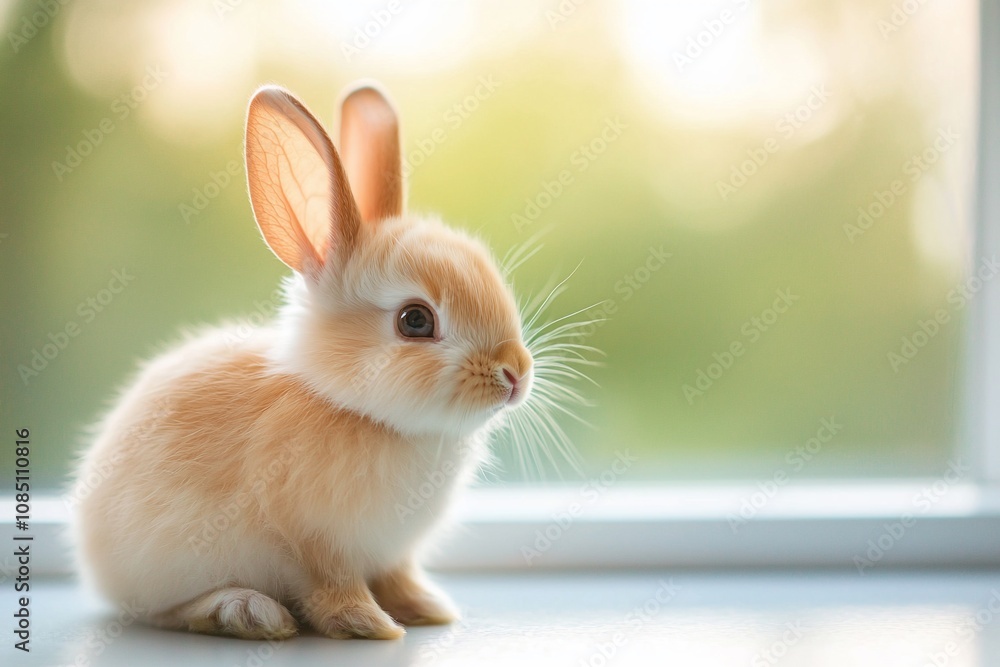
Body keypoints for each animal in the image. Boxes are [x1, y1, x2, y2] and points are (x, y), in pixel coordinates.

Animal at [71, 82, 534, 641]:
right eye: (416, 321)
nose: (516, 373)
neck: (356, 409)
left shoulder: (390, 553)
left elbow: (397, 577)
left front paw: (427, 608)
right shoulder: (313, 541)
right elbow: (333, 586)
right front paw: (371, 626)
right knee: (165, 613)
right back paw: (248, 612)